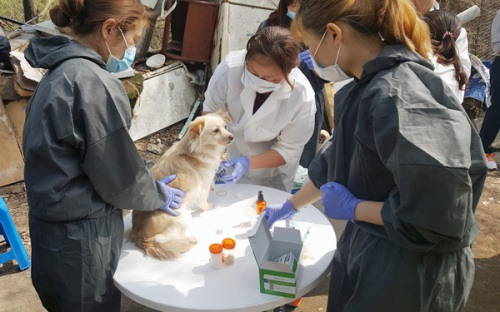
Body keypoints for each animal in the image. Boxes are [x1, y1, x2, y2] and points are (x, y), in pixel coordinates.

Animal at [133, 111, 234, 260]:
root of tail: (139, 237)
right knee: (159, 239)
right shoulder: (203, 186)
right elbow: (203, 201)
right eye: (216, 131)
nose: (232, 137)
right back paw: (190, 238)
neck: (198, 150)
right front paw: (208, 206)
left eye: (225, 127)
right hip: (180, 216)